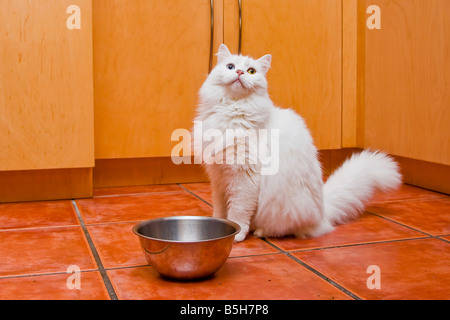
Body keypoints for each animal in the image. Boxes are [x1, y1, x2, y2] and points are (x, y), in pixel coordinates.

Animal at [192, 43, 400, 241]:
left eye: (251, 71)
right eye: (230, 66)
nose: (239, 72)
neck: (231, 111)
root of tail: (323, 214)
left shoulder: (244, 178)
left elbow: (238, 213)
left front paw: (237, 235)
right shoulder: (219, 179)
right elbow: (221, 211)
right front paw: (220, 226)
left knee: (285, 229)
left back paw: (261, 232)